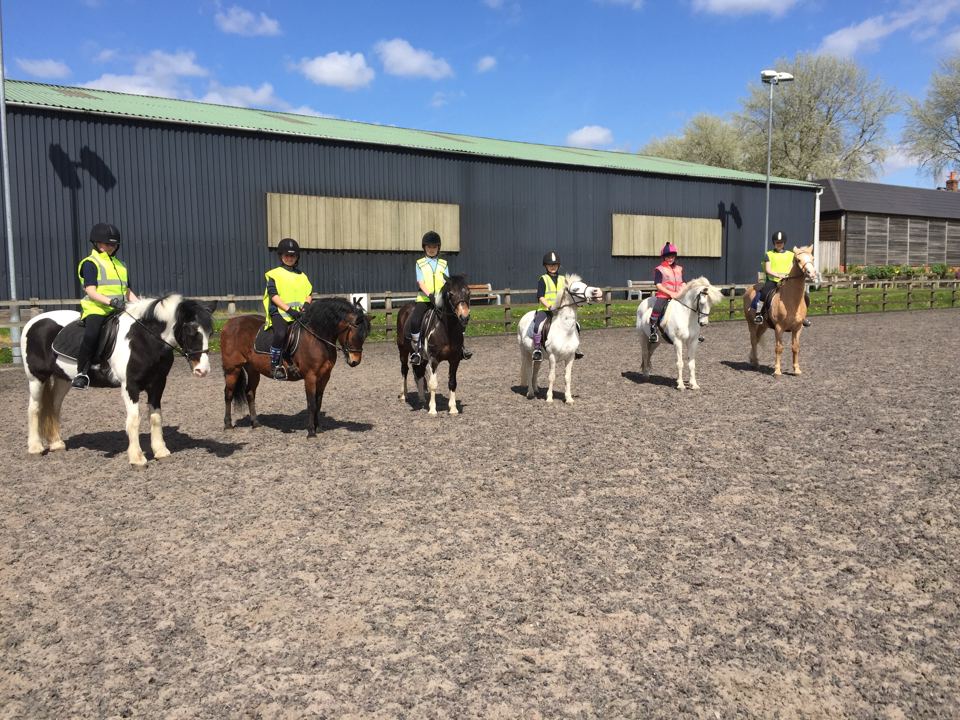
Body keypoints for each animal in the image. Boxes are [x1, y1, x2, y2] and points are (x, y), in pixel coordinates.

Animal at [21, 294, 215, 466]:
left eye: (210, 333)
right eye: (191, 331)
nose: (202, 370)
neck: (143, 340)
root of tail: (33, 322)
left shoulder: (158, 384)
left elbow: (155, 417)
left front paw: (161, 452)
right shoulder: (130, 386)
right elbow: (134, 420)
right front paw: (137, 459)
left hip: (63, 379)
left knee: (54, 406)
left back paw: (57, 444)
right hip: (36, 378)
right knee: (34, 408)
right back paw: (35, 448)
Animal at [221, 297, 370, 436]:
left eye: (364, 336)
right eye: (354, 335)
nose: (355, 361)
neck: (317, 338)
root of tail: (229, 323)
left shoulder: (324, 376)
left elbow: (319, 403)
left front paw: (319, 428)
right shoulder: (310, 376)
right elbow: (311, 404)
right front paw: (311, 432)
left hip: (253, 370)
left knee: (250, 393)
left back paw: (255, 423)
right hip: (233, 369)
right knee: (228, 394)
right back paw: (228, 425)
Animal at [396, 274, 471, 415]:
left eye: (468, 292)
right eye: (451, 294)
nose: (464, 317)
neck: (446, 330)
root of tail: (405, 308)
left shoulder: (455, 360)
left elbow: (452, 382)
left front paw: (453, 408)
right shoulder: (434, 359)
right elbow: (433, 384)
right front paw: (432, 410)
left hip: (421, 356)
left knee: (419, 372)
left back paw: (421, 398)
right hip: (403, 350)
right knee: (404, 370)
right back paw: (403, 395)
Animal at [517, 274, 603, 403]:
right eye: (575, 289)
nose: (597, 292)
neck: (564, 330)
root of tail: (524, 316)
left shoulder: (570, 357)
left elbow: (567, 378)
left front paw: (569, 399)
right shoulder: (552, 357)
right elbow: (551, 377)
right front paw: (549, 399)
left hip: (538, 357)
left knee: (535, 370)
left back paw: (536, 390)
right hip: (525, 352)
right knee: (528, 370)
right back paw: (531, 393)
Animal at [743, 245, 818, 376]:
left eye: (812, 258)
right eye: (798, 260)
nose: (812, 273)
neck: (791, 301)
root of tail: (749, 289)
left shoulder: (798, 328)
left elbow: (795, 347)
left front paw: (796, 370)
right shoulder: (779, 328)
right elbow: (779, 348)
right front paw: (777, 371)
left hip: (764, 325)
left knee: (757, 339)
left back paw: (753, 360)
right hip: (751, 323)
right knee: (753, 340)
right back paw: (756, 362)